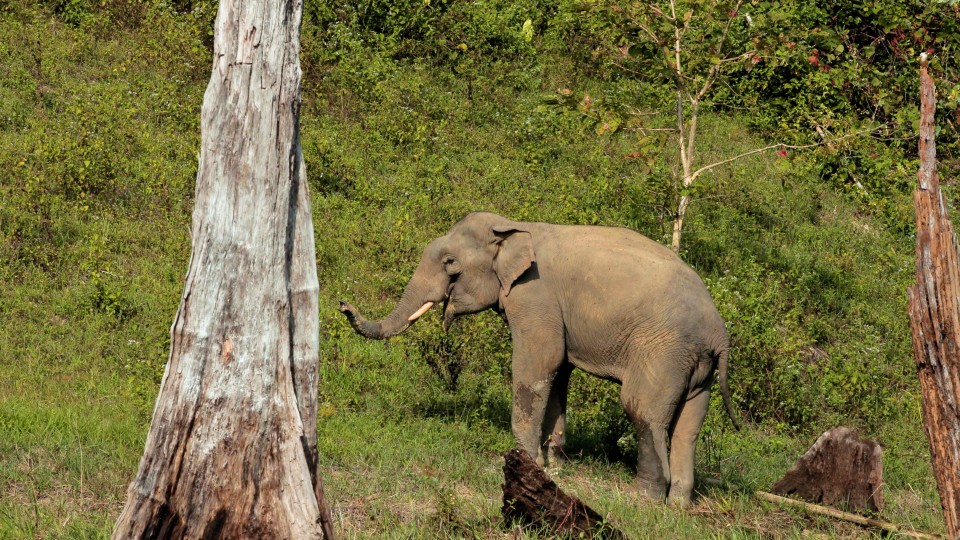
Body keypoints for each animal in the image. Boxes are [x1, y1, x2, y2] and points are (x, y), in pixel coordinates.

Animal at [338, 211, 736, 506]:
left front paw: (524, 463)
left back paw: (642, 499)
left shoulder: (534, 295)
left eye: (451, 263)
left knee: (642, 410)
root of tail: (719, 332)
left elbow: (539, 362)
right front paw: (554, 467)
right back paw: (678, 506)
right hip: (695, 366)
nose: (343, 304)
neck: (512, 225)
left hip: (664, 352)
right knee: (688, 427)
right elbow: (559, 372)